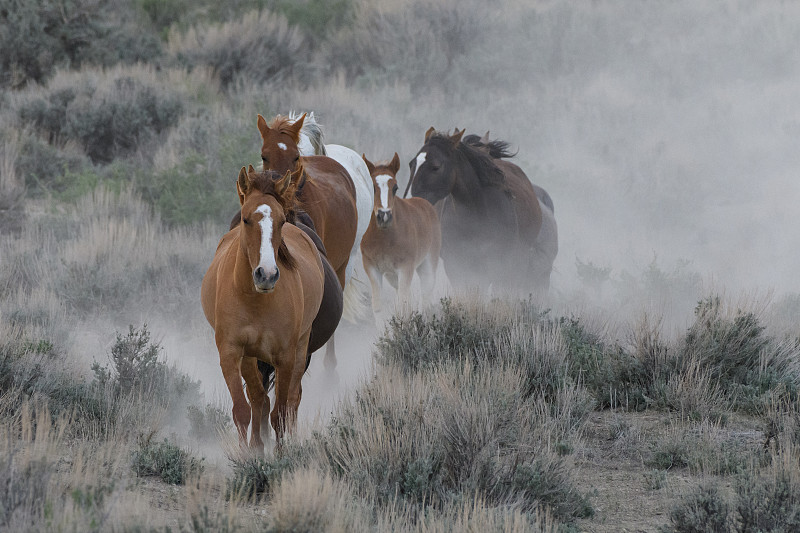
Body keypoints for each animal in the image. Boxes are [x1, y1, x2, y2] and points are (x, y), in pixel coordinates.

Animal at [202, 166, 326, 448]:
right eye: (246, 219)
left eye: (280, 221)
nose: (266, 275)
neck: (253, 300)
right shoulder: (231, 353)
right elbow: (243, 410)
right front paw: (247, 453)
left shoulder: (285, 358)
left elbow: (279, 414)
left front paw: (280, 455)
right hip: (250, 358)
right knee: (258, 400)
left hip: (300, 350)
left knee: (290, 401)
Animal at [360, 153, 440, 320]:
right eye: (372, 186)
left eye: (395, 188)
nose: (384, 215)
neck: (383, 239)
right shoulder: (372, 268)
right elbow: (378, 306)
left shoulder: (406, 268)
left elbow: (403, 306)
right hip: (393, 276)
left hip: (428, 265)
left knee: (426, 296)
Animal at [406, 128, 556, 294]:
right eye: (411, 164)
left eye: (436, 166)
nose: (413, 201)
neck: (478, 213)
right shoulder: (456, 265)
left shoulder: (500, 263)